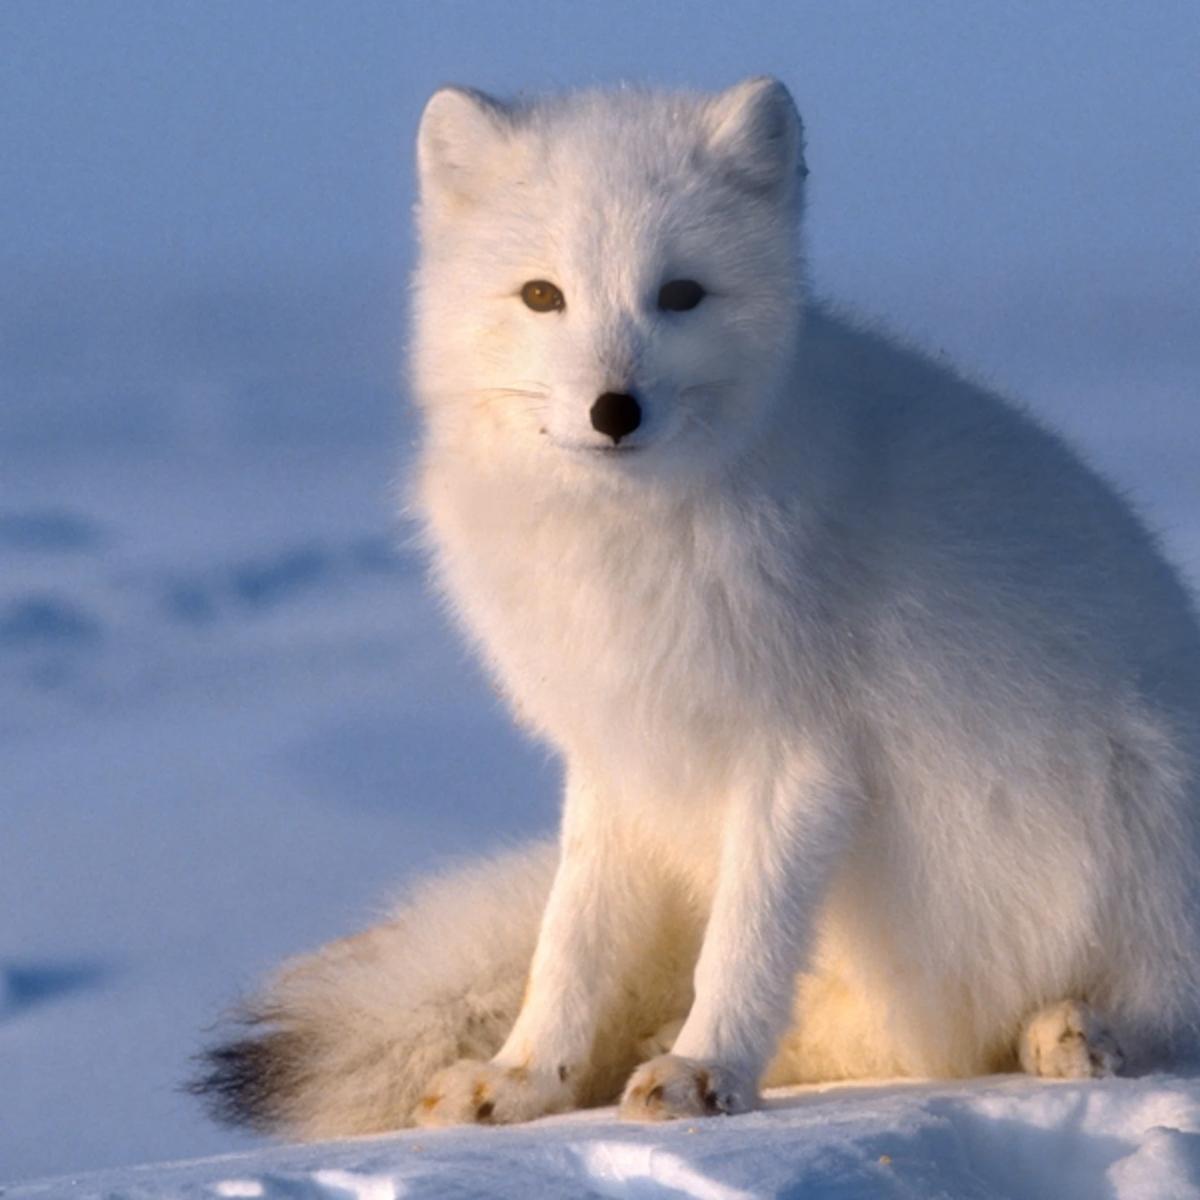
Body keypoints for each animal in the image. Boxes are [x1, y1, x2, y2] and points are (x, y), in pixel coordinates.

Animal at [193, 77, 1200, 1138]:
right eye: (542, 295)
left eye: (680, 294)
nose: (614, 409)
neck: (626, 545)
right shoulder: (617, 756)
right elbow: (571, 943)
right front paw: (526, 1078)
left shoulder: (799, 758)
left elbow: (747, 942)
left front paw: (704, 1069)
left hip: (1146, 813)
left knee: (1156, 1009)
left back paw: (1075, 1031)